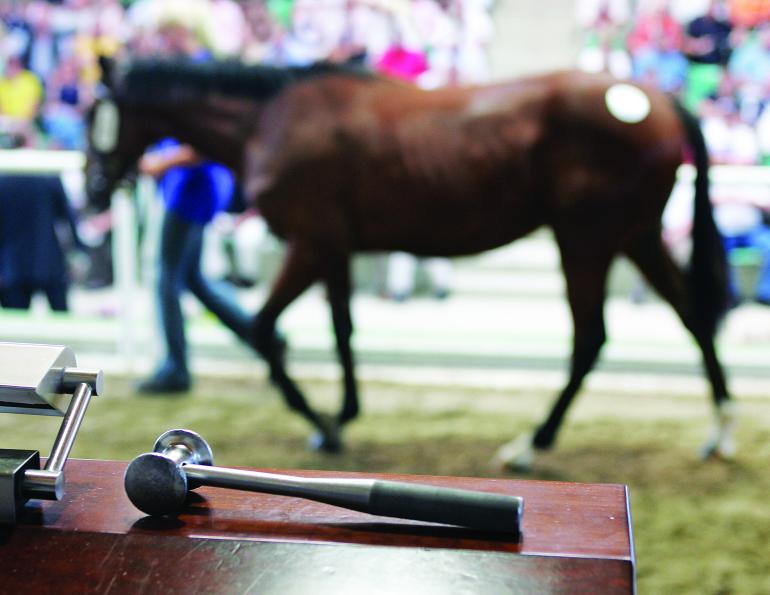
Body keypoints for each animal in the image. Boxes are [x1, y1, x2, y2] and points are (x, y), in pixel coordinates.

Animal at [84, 57, 735, 468]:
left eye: (99, 117)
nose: (92, 191)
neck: (272, 117)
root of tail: (656, 99)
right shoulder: (335, 249)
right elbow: (343, 330)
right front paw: (343, 415)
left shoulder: (309, 243)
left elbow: (264, 329)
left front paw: (321, 424)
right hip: (637, 237)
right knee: (694, 317)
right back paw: (719, 431)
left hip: (586, 242)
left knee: (590, 340)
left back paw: (529, 445)